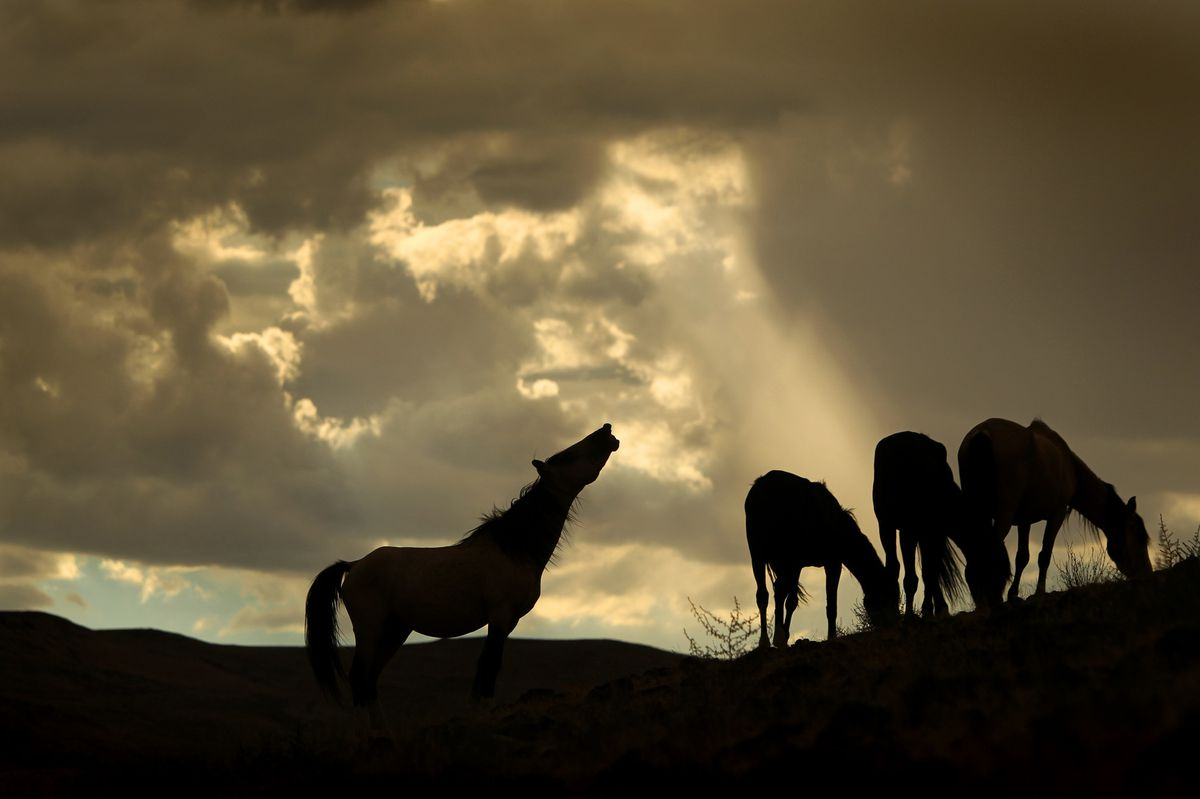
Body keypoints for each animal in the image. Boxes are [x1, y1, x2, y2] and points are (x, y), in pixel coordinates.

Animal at [304, 422, 619, 734]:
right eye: (567, 456)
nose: (607, 430)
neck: (513, 548)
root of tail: (354, 565)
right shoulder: (500, 615)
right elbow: (490, 664)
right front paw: (484, 714)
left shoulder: (509, 621)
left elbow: (485, 666)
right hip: (371, 628)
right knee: (359, 677)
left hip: (395, 631)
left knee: (370, 680)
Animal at [744, 467, 897, 647]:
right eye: (887, 595)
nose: (892, 624)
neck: (836, 525)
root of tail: (762, 489)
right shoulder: (831, 563)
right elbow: (831, 606)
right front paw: (832, 636)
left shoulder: (798, 565)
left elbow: (791, 601)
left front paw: (786, 635)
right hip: (774, 557)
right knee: (774, 591)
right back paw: (772, 639)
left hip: (761, 555)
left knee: (768, 594)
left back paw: (770, 640)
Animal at [955, 419, 1152, 599]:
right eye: (1138, 536)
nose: (1147, 574)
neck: (1070, 467)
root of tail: (983, 432)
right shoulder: (1057, 513)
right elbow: (1044, 555)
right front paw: (1039, 592)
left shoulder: (1024, 520)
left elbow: (1022, 557)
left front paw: (1013, 594)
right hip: (1004, 515)